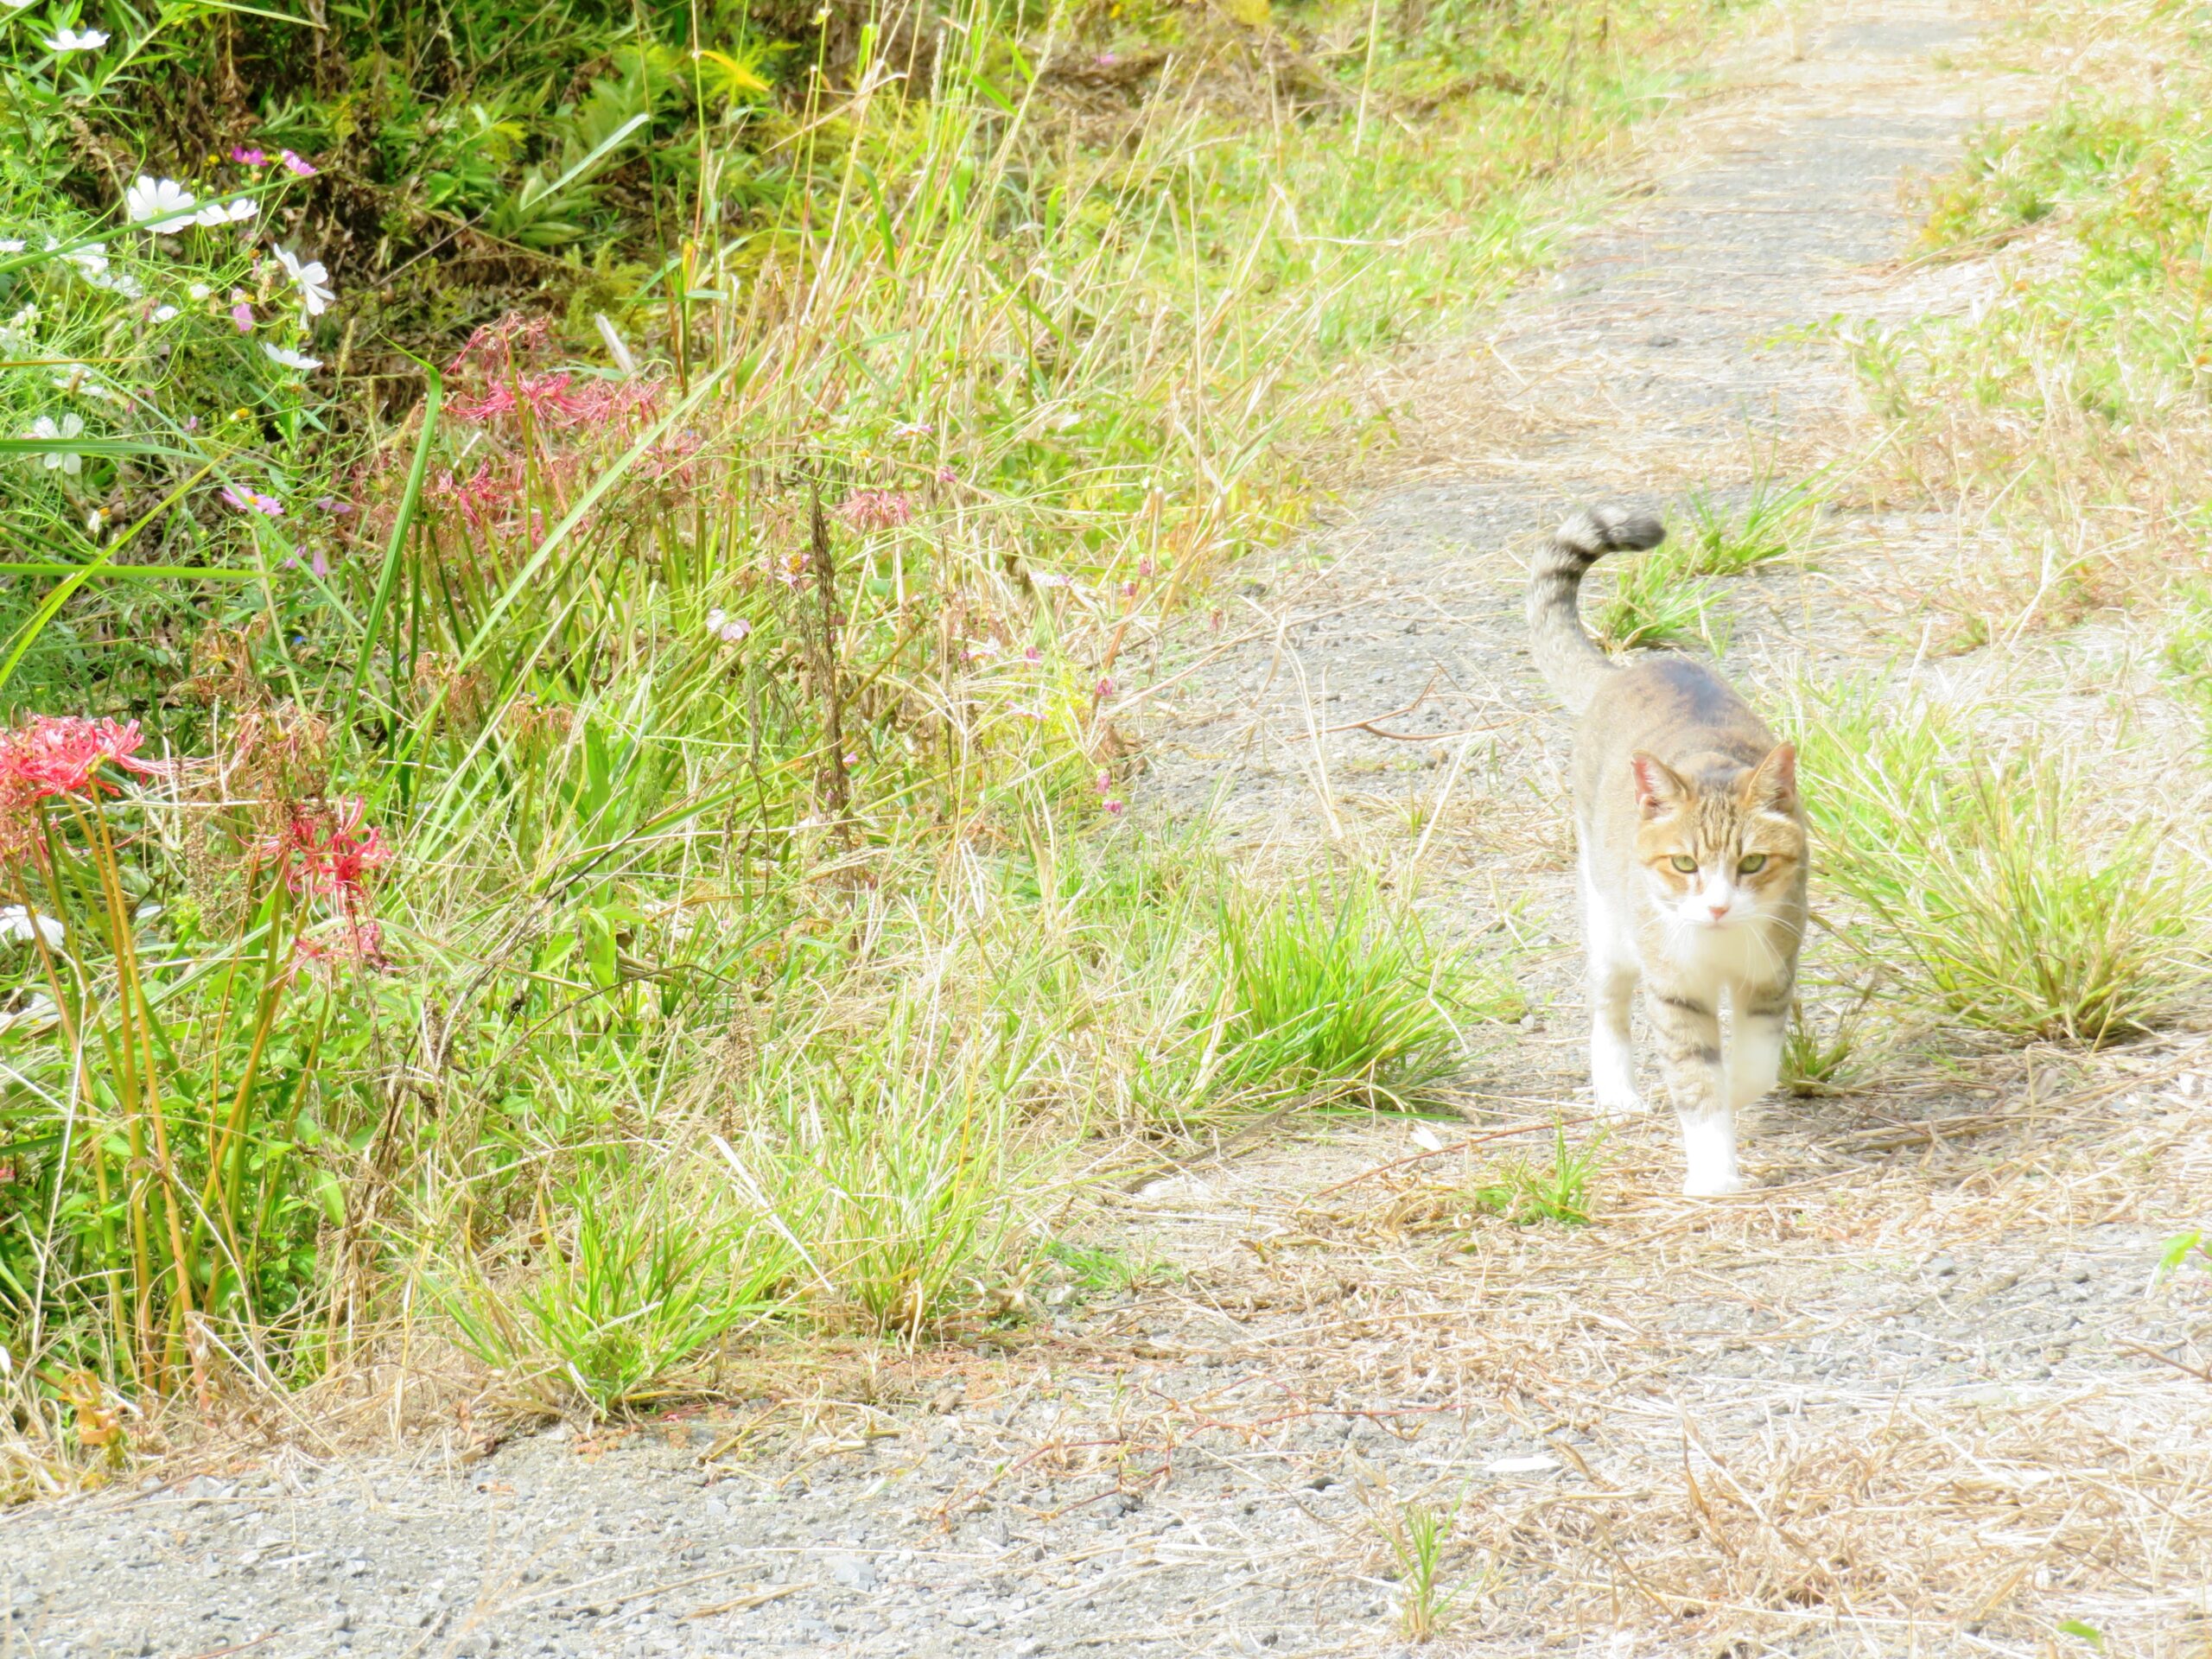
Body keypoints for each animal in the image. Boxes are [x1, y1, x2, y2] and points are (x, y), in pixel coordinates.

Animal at [1530, 504, 1804, 1194]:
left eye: (1753, 863)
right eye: (1683, 864)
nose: (1717, 907)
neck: (1718, 947)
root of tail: (1629, 670)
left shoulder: (1771, 972)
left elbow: (1754, 1064)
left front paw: (1739, 1092)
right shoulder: (1674, 988)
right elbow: (1695, 1078)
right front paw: (1714, 1174)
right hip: (1609, 925)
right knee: (1607, 1008)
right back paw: (1618, 1095)